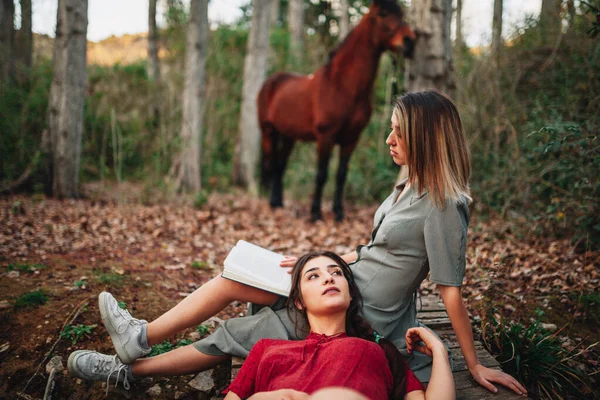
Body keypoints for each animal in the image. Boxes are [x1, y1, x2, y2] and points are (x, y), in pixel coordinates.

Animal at [258, 0, 418, 222]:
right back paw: (273, 204)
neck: (343, 87)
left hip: (289, 136)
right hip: (268, 132)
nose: (409, 42)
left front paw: (339, 212)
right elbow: (321, 174)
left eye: (401, 14)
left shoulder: (351, 139)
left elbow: (341, 175)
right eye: (382, 14)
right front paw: (316, 213)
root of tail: (272, 81)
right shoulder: (325, 136)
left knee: (280, 165)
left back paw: (278, 203)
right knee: (273, 165)